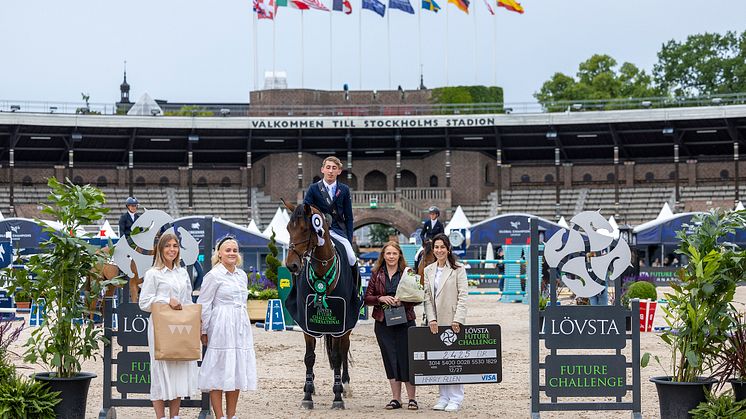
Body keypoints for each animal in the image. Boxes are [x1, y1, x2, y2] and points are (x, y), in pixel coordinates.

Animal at [284, 200, 354, 410]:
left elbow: (338, 357)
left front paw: (338, 396)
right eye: (288, 228)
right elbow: (309, 357)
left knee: (344, 349)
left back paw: (346, 385)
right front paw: (307, 395)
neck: (323, 270)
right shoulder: (308, 323)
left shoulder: (340, 323)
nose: (291, 265)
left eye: (306, 229)